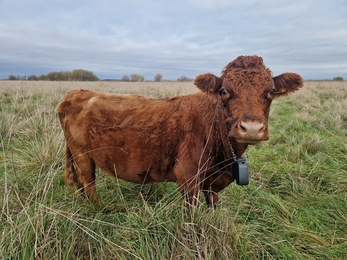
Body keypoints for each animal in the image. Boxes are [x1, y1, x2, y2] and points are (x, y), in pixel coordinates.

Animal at [58, 55, 304, 208]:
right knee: (88, 182)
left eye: (270, 91)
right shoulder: (188, 177)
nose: (251, 128)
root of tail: (76, 93)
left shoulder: (212, 184)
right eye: (224, 91)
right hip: (82, 155)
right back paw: (100, 210)